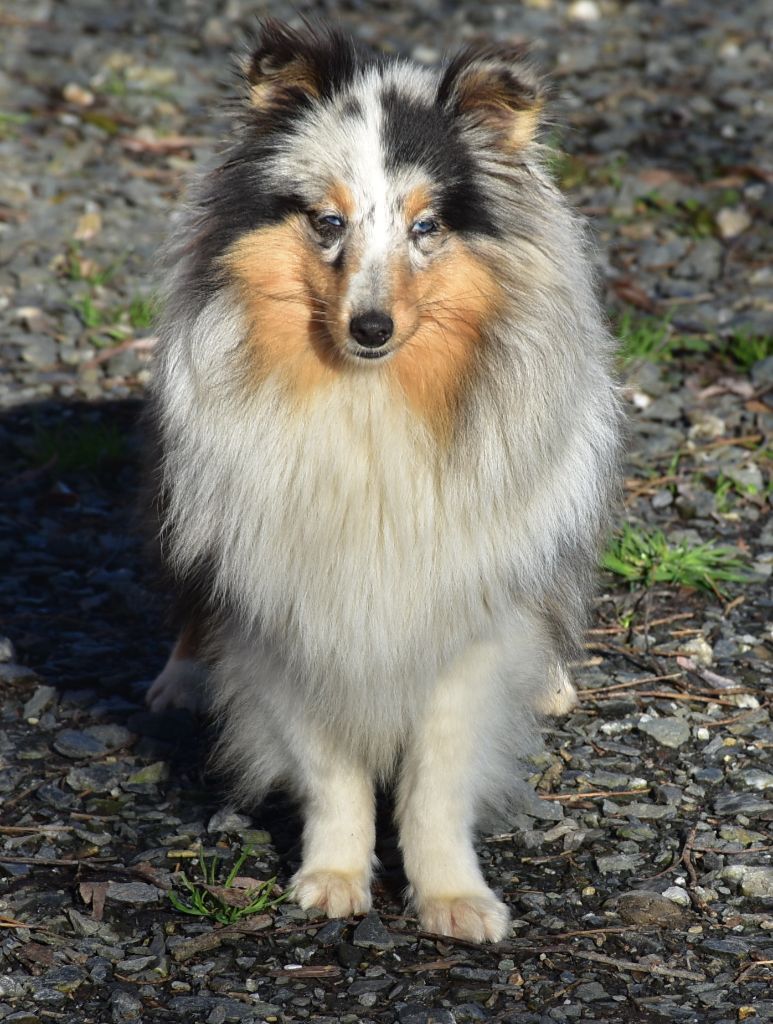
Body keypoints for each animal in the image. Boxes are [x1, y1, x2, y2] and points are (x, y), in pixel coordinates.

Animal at [146, 18, 622, 942]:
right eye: (327, 221)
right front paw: (332, 878)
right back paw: (182, 679)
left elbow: (436, 779)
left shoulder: (461, 624)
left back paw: (549, 682)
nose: (370, 328)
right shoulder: (294, 611)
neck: (369, 405)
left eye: (426, 226)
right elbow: (330, 770)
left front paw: (453, 899)